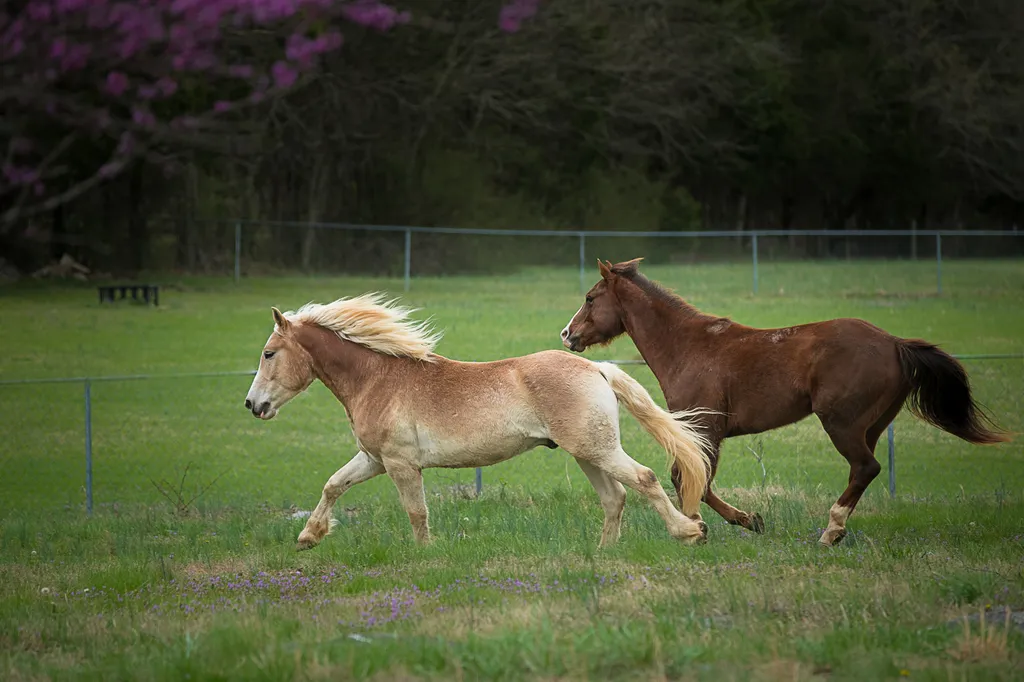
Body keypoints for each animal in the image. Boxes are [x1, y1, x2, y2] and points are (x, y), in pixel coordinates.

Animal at [244, 292, 715, 549]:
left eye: (268, 353)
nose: (253, 404)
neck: (378, 378)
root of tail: (597, 368)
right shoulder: (374, 460)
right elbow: (333, 485)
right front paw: (308, 537)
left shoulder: (400, 464)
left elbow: (416, 512)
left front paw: (425, 556)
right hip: (587, 453)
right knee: (614, 498)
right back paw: (604, 552)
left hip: (597, 449)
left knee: (645, 479)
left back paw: (690, 531)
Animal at [560, 258, 1009, 546]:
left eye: (590, 297)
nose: (567, 335)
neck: (688, 346)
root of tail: (895, 344)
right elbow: (695, 478)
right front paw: (726, 523)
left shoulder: (706, 427)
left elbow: (691, 478)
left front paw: (719, 525)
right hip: (873, 425)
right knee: (864, 471)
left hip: (841, 423)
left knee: (866, 467)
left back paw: (830, 533)